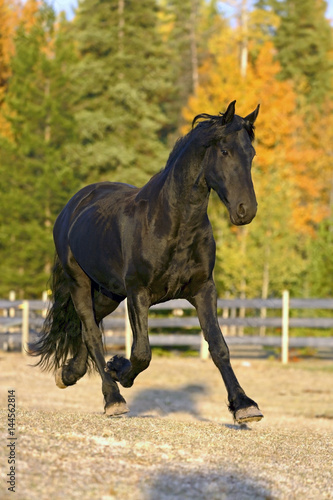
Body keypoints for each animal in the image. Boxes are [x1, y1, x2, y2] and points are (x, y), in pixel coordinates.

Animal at [33, 100, 262, 422]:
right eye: (225, 151)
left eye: (251, 154)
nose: (246, 210)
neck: (173, 221)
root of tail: (74, 205)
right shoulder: (138, 292)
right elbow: (142, 353)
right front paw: (119, 369)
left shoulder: (203, 289)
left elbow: (219, 347)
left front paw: (244, 405)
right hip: (79, 282)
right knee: (91, 332)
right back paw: (113, 398)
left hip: (109, 293)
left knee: (88, 326)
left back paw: (69, 374)